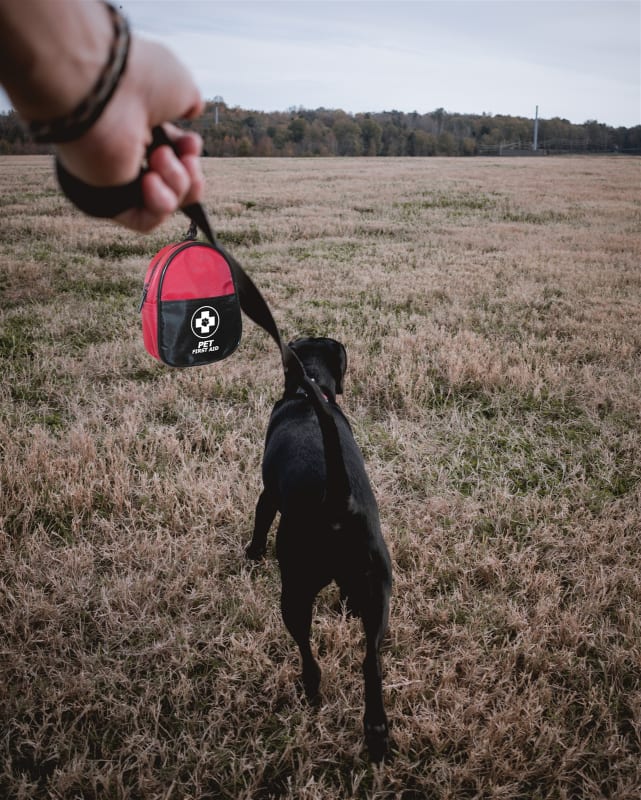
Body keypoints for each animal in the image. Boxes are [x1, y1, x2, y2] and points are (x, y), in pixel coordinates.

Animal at [248, 334, 392, 760]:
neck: (308, 387)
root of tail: (338, 500)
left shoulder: (267, 495)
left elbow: (259, 520)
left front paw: (252, 553)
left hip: (294, 591)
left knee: (306, 648)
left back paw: (310, 686)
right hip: (379, 593)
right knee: (370, 661)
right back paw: (376, 730)